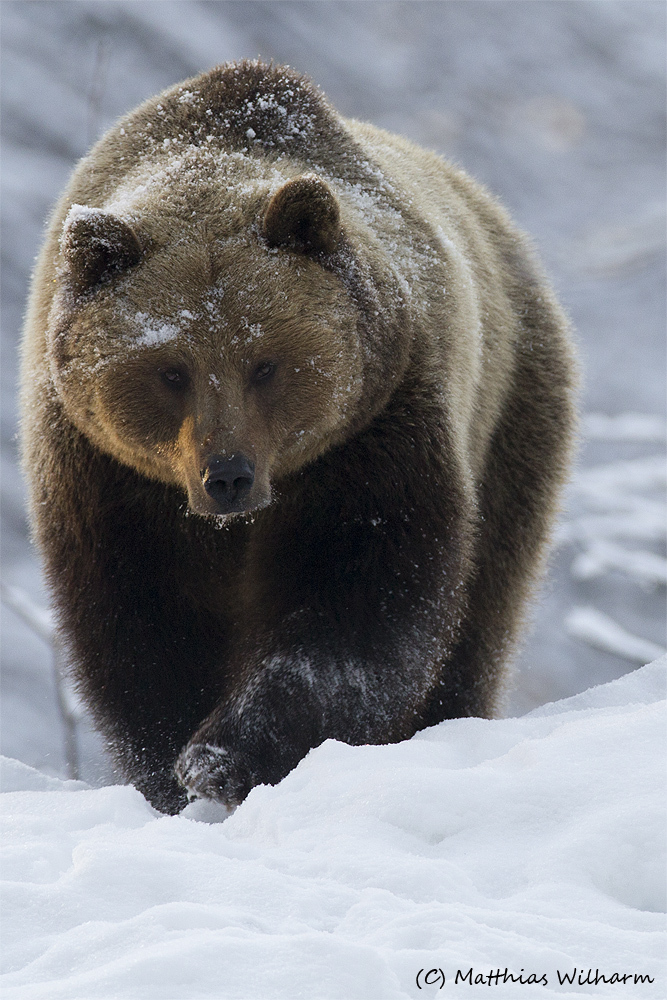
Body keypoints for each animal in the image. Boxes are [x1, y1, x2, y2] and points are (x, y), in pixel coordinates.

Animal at [18, 58, 576, 812]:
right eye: (170, 370)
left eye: (265, 363)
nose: (227, 475)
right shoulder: (106, 471)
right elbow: (141, 623)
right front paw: (175, 764)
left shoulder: (370, 433)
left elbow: (352, 601)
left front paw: (223, 755)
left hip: (511, 406)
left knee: (483, 604)